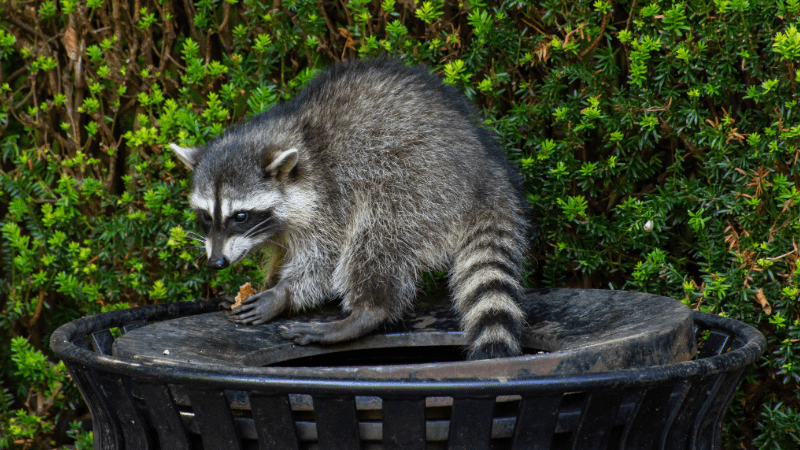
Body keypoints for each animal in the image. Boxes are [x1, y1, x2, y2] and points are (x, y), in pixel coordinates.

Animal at [170, 58, 532, 360]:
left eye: (241, 216)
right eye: (206, 217)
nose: (216, 262)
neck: (297, 136)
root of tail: (487, 173)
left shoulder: (330, 197)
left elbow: (324, 257)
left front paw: (284, 293)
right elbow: (281, 252)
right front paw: (268, 281)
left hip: (420, 188)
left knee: (375, 239)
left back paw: (366, 312)